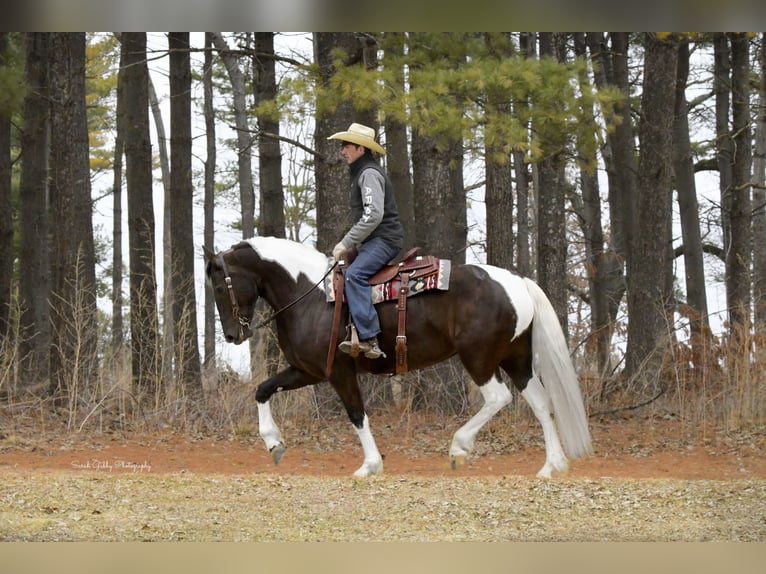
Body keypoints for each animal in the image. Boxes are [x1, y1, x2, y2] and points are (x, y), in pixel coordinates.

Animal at [204, 236, 593, 478]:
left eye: (220, 285)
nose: (232, 335)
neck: (309, 293)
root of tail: (517, 281)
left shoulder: (339, 371)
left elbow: (357, 414)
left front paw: (370, 465)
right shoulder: (308, 370)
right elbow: (262, 389)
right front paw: (273, 443)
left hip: (479, 358)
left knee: (498, 397)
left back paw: (459, 447)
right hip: (516, 359)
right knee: (540, 403)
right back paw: (551, 466)